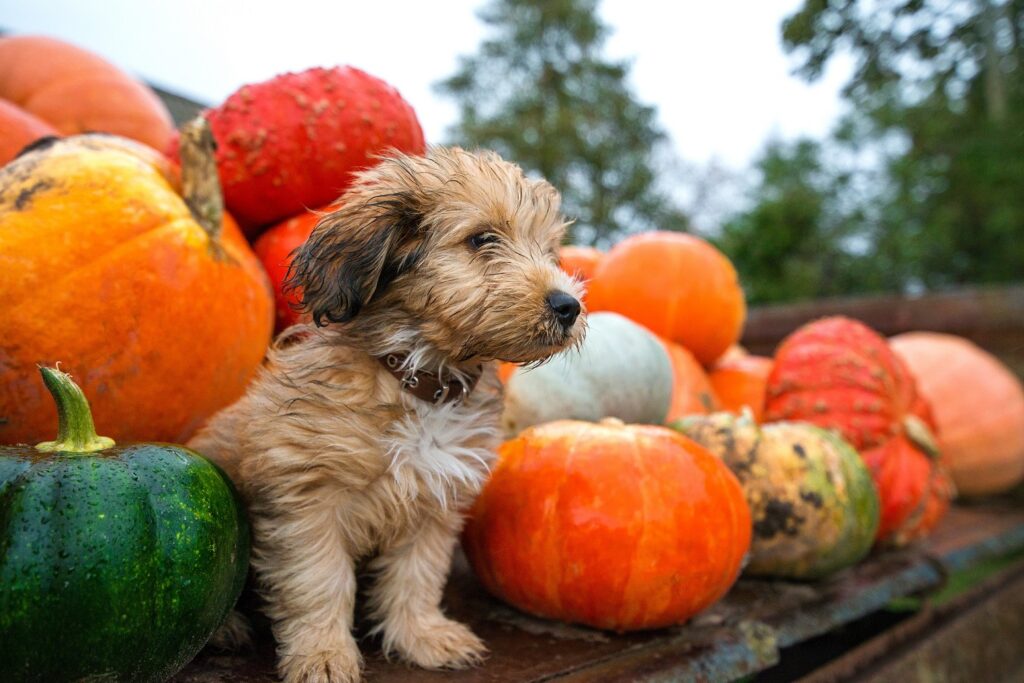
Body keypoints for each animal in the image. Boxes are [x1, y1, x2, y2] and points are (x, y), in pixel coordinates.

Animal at [185, 148, 585, 683]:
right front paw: (323, 654)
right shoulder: (307, 500)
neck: (419, 381)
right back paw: (226, 628)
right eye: (482, 239)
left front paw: (422, 636)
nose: (569, 306)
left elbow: (416, 577)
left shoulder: (435, 503)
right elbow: (319, 581)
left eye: (550, 250)